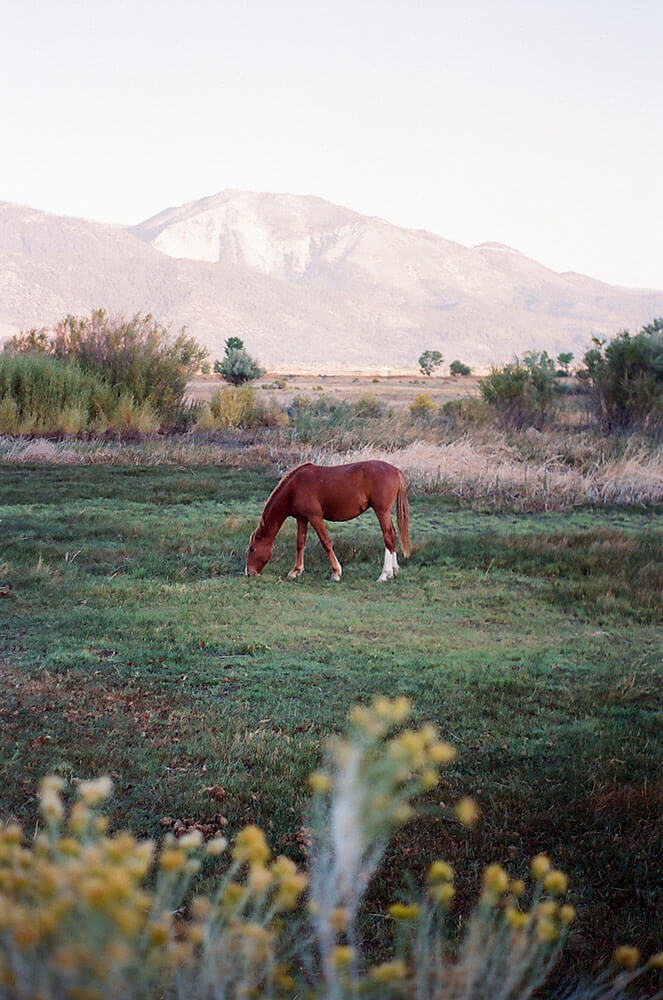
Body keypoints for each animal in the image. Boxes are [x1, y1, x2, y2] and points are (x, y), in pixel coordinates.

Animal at [245, 460, 410, 582]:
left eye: (252, 549)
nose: (249, 573)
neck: (294, 488)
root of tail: (395, 470)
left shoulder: (315, 517)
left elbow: (326, 542)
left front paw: (336, 573)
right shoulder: (302, 519)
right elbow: (300, 543)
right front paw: (296, 571)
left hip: (381, 512)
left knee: (388, 536)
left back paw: (384, 574)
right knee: (393, 535)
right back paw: (394, 571)